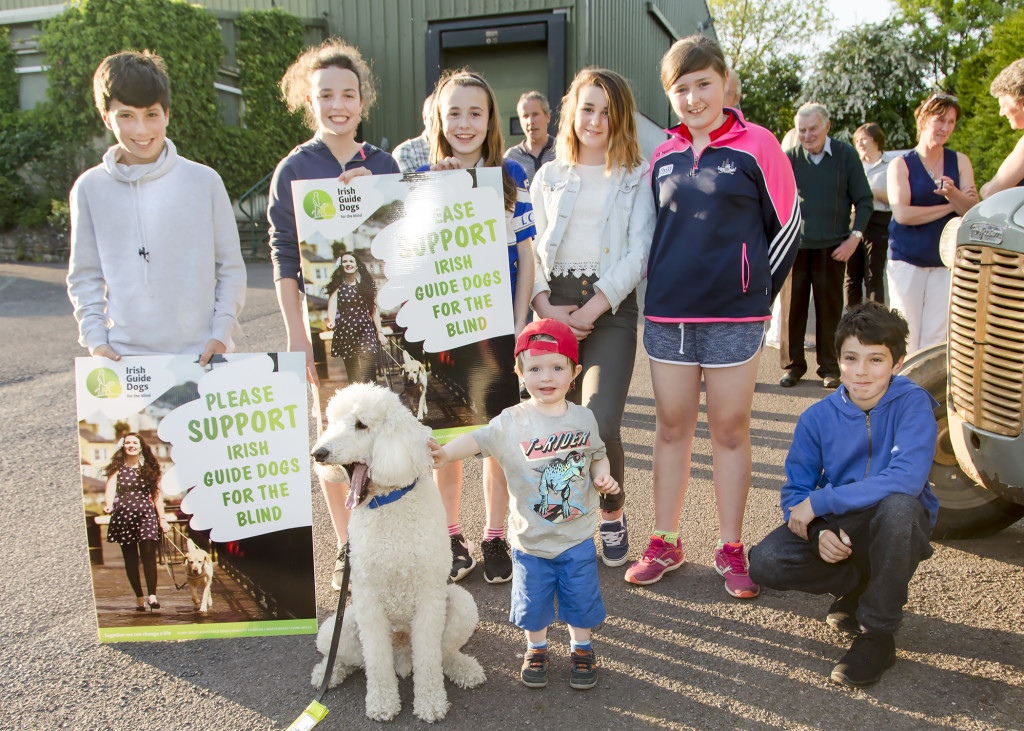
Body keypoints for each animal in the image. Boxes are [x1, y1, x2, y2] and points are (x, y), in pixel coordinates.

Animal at [307, 384, 483, 720]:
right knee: (352, 659)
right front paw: (382, 703)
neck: (387, 502)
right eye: (332, 422)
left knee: (443, 652)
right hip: (339, 626)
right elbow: (376, 660)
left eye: (361, 425)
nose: (318, 454)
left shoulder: (429, 598)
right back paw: (327, 673)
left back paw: (463, 668)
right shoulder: (369, 602)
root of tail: (402, 651)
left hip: (461, 605)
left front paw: (430, 703)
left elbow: (429, 659)